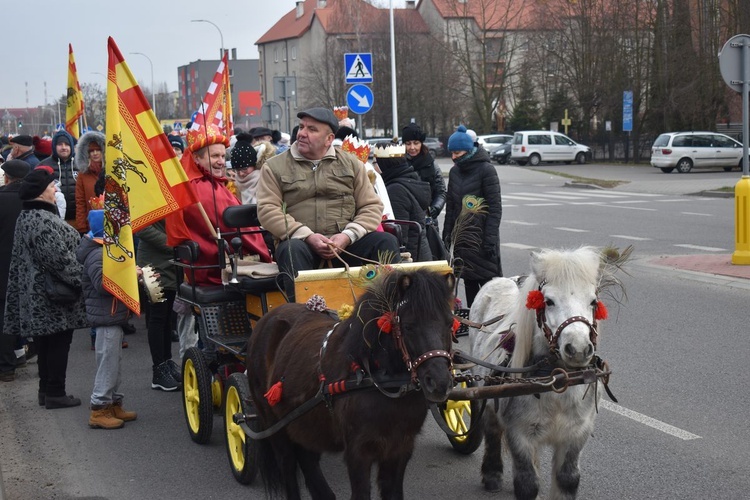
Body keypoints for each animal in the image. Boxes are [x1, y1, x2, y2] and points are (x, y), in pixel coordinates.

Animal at [248, 270, 458, 500]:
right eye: (409, 326)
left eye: (450, 323)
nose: (439, 383)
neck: (379, 380)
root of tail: (268, 318)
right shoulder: (358, 453)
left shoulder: (400, 448)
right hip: (274, 423)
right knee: (287, 466)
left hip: (304, 423)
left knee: (307, 457)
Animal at [470, 246, 628, 500]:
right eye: (549, 301)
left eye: (593, 301)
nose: (578, 349)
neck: (557, 378)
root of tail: (499, 279)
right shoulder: (520, 434)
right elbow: (527, 483)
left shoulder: (577, 434)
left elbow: (568, 479)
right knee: (492, 429)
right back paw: (492, 473)